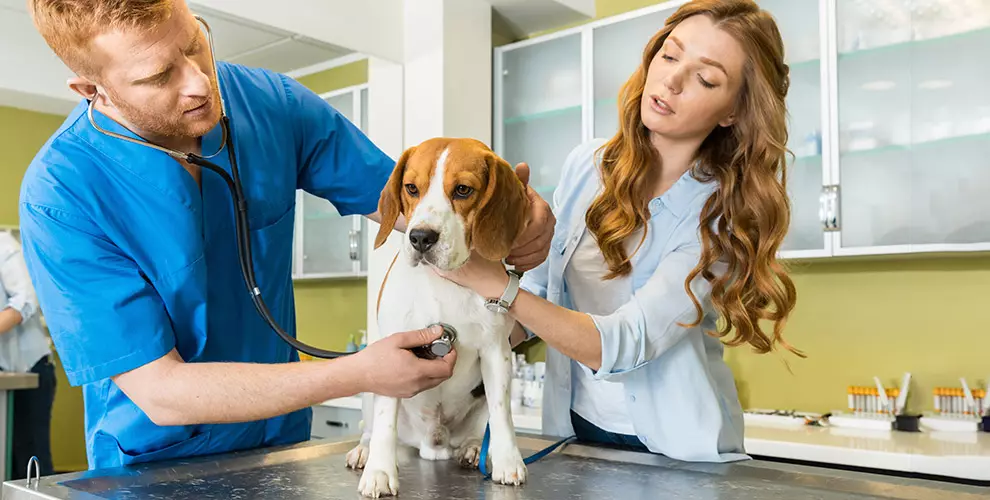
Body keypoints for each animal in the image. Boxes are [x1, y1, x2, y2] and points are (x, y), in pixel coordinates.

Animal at [348, 136, 536, 496]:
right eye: (411, 188)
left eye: (463, 190)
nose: (421, 237)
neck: (444, 280)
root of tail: (432, 443)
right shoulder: (392, 356)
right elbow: (384, 421)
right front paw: (379, 471)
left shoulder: (497, 352)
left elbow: (502, 414)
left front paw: (509, 461)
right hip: (367, 388)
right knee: (372, 425)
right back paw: (364, 450)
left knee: (481, 426)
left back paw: (474, 448)